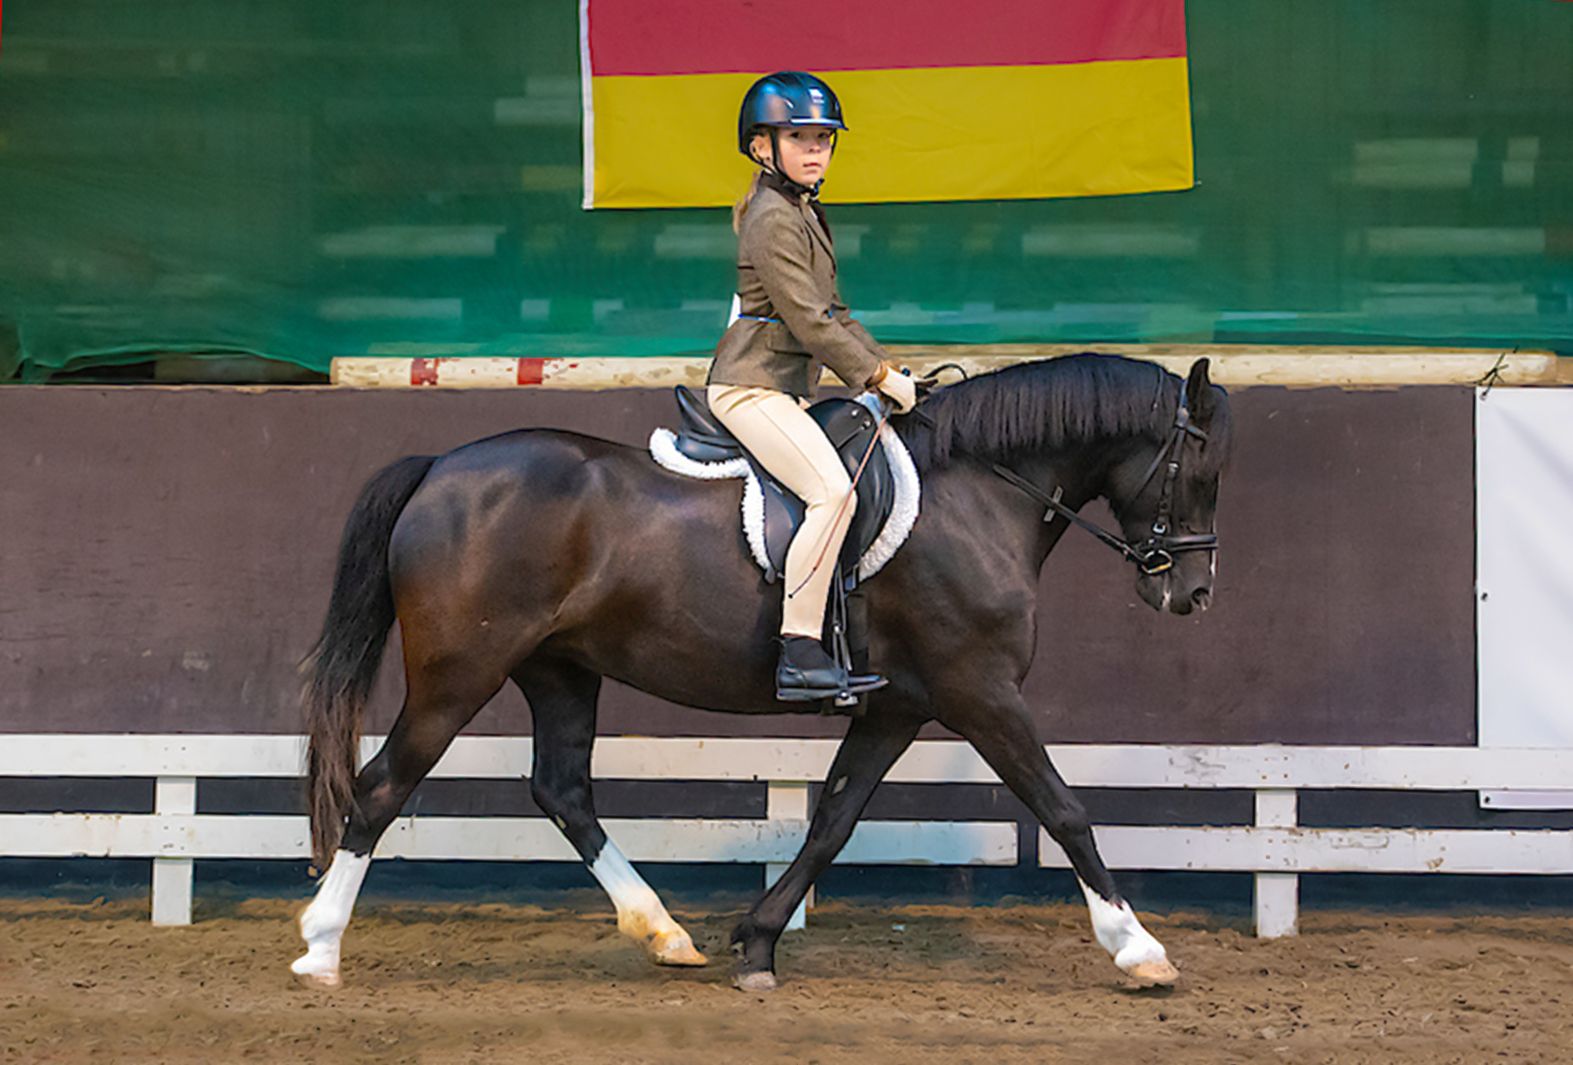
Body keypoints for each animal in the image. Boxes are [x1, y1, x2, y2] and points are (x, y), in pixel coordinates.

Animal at [290, 352, 1232, 991]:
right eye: (1202, 469)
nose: (1189, 592)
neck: (976, 493)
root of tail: (440, 469)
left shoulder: (899, 706)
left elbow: (832, 820)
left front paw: (757, 940)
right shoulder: (981, 691)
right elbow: (1064, 808)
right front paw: (1140, 948)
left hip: (559, 671)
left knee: (562, 790)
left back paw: (664, 932)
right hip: (459, 672)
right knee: (381, 785)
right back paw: (321, 946)